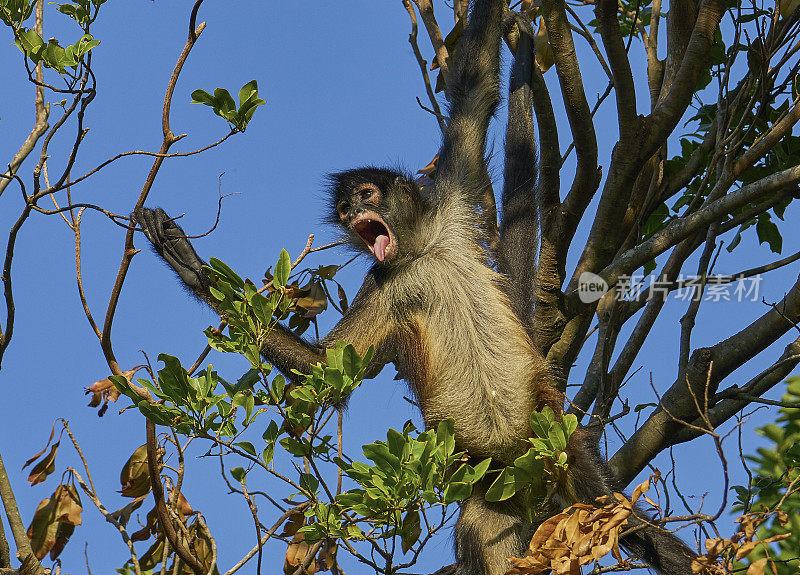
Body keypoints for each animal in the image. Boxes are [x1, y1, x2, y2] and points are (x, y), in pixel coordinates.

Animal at [134, 2, 696, 572]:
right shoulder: (382, 282)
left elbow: (476, 93)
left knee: (616, 511)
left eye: (366, 195)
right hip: (488, 481)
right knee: (485, 530)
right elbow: (327, 370)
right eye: (344, 210)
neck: (421, 249)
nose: (352, 214)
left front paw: (517, 44)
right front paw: (192, 269)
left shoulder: (451, 195)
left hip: (555, 438)